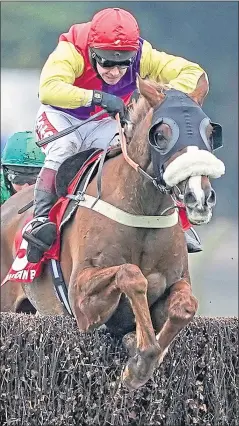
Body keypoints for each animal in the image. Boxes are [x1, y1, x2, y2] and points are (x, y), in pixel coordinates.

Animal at [0, 76, 224, 390]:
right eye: (161, 134)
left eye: (210, 132)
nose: (199, 197)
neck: (142, 212)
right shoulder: (82, 303)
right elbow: (131, 274)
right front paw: (140, 360)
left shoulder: (177, 281)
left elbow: (186, 307)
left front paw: (143, 350)